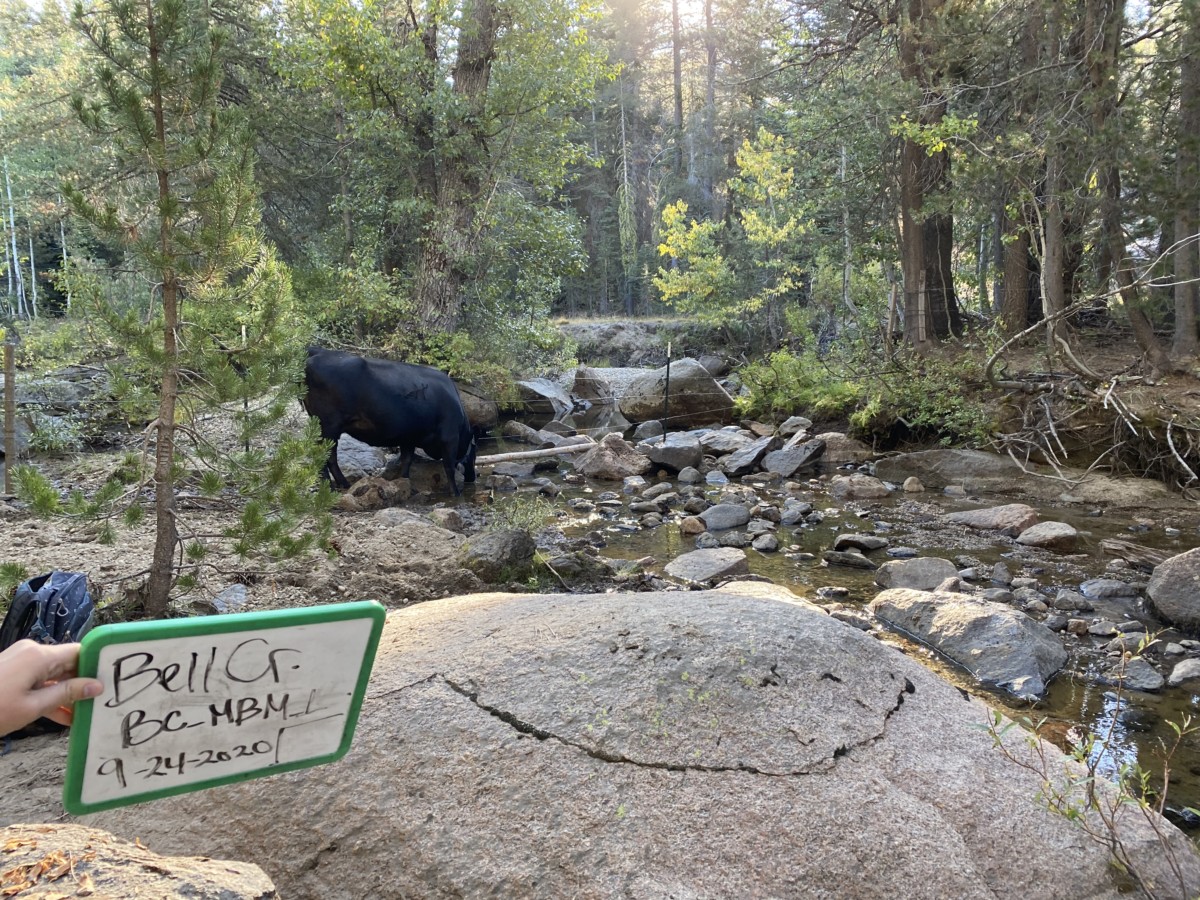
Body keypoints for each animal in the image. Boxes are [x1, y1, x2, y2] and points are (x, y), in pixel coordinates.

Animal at [300, 348, 477, 496]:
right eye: (474, 453)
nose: (473, 477)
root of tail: (317, 352)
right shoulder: (449, 436)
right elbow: (449, 466)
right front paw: (455, 493)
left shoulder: (409, 437)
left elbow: (407, 460)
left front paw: (405, 482)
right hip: (328, 425)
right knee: (324, 456)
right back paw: (329, 487)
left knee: (330, 456)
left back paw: (343, 483)